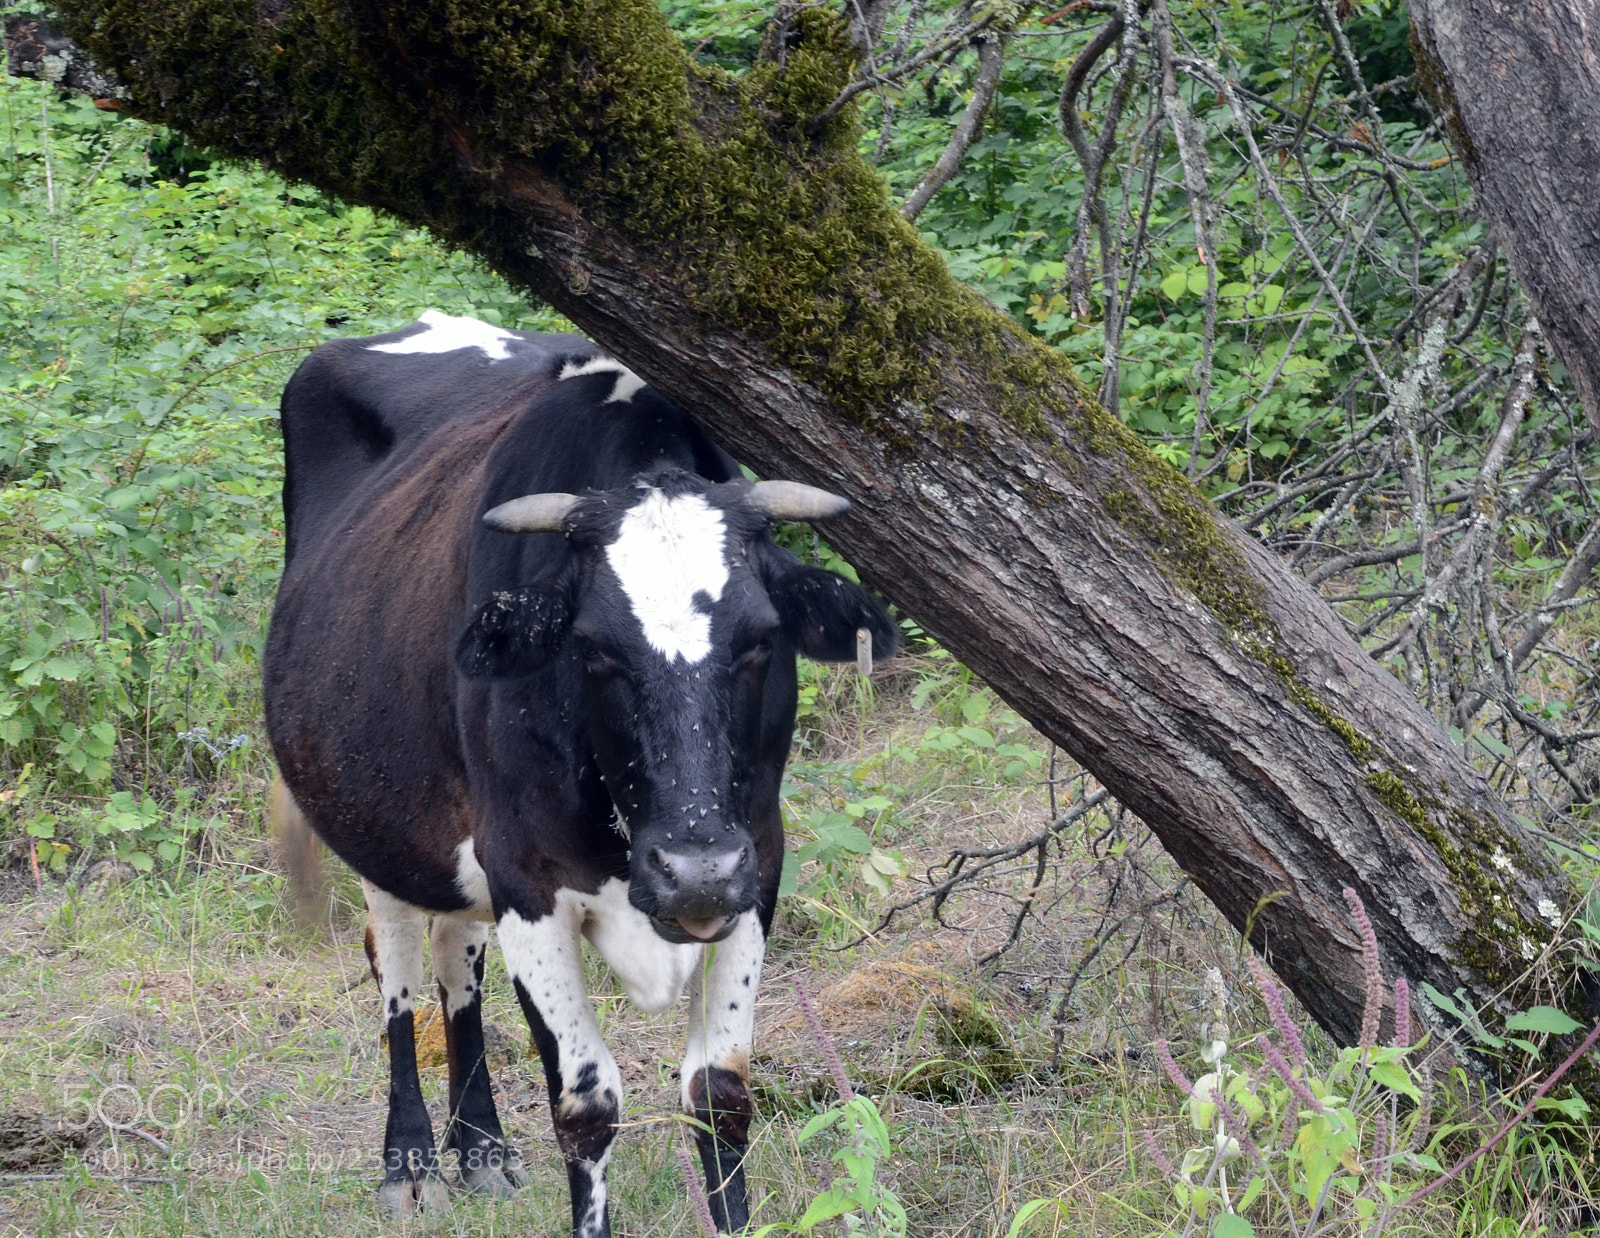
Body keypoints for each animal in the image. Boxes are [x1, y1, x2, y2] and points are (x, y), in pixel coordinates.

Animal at [263, 310, 897, 1237]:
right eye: (594, 650)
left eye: (759, 640)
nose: (694, 869)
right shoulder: (527, 877)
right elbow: (588, 1106)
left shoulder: (758, 864)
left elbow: (719, 1094)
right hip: (371, 819)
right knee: (401, 969)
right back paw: (411, 1163)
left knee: (457, 959)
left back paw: (482, 1151)